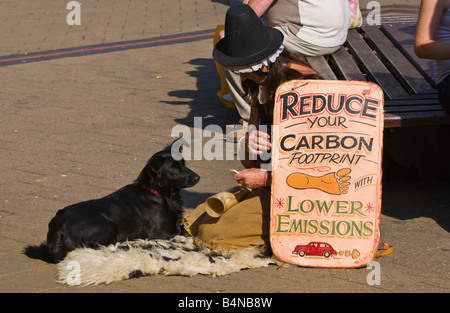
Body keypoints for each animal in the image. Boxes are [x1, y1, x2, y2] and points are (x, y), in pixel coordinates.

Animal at [24, 140, 199, 264]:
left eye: (184, 164)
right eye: (173, 169)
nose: (198, 177)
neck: (158, 193)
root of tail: (57, 226)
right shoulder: (163, 233)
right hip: (108, 226)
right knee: (88, 248)